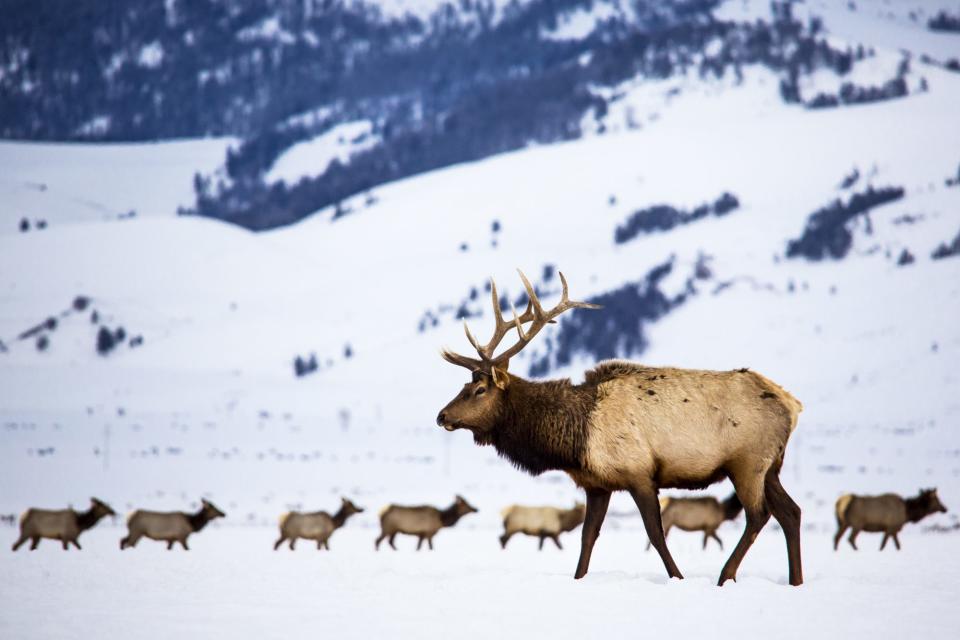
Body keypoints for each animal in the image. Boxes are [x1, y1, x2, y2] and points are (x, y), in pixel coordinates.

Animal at [438, 270, 808, 584]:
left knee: (758, 515)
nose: (441, 416)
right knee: (791, 512)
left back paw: (725, 575)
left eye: (479, 389)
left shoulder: (639, 473)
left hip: (746, 462)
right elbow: (587, 537)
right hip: (771, 466)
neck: (573, 440)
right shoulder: (597, 484)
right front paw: (579, 578)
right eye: (466, 384)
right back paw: (795, 580)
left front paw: (678, 577)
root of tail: (792, 405)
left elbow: (655, 533)